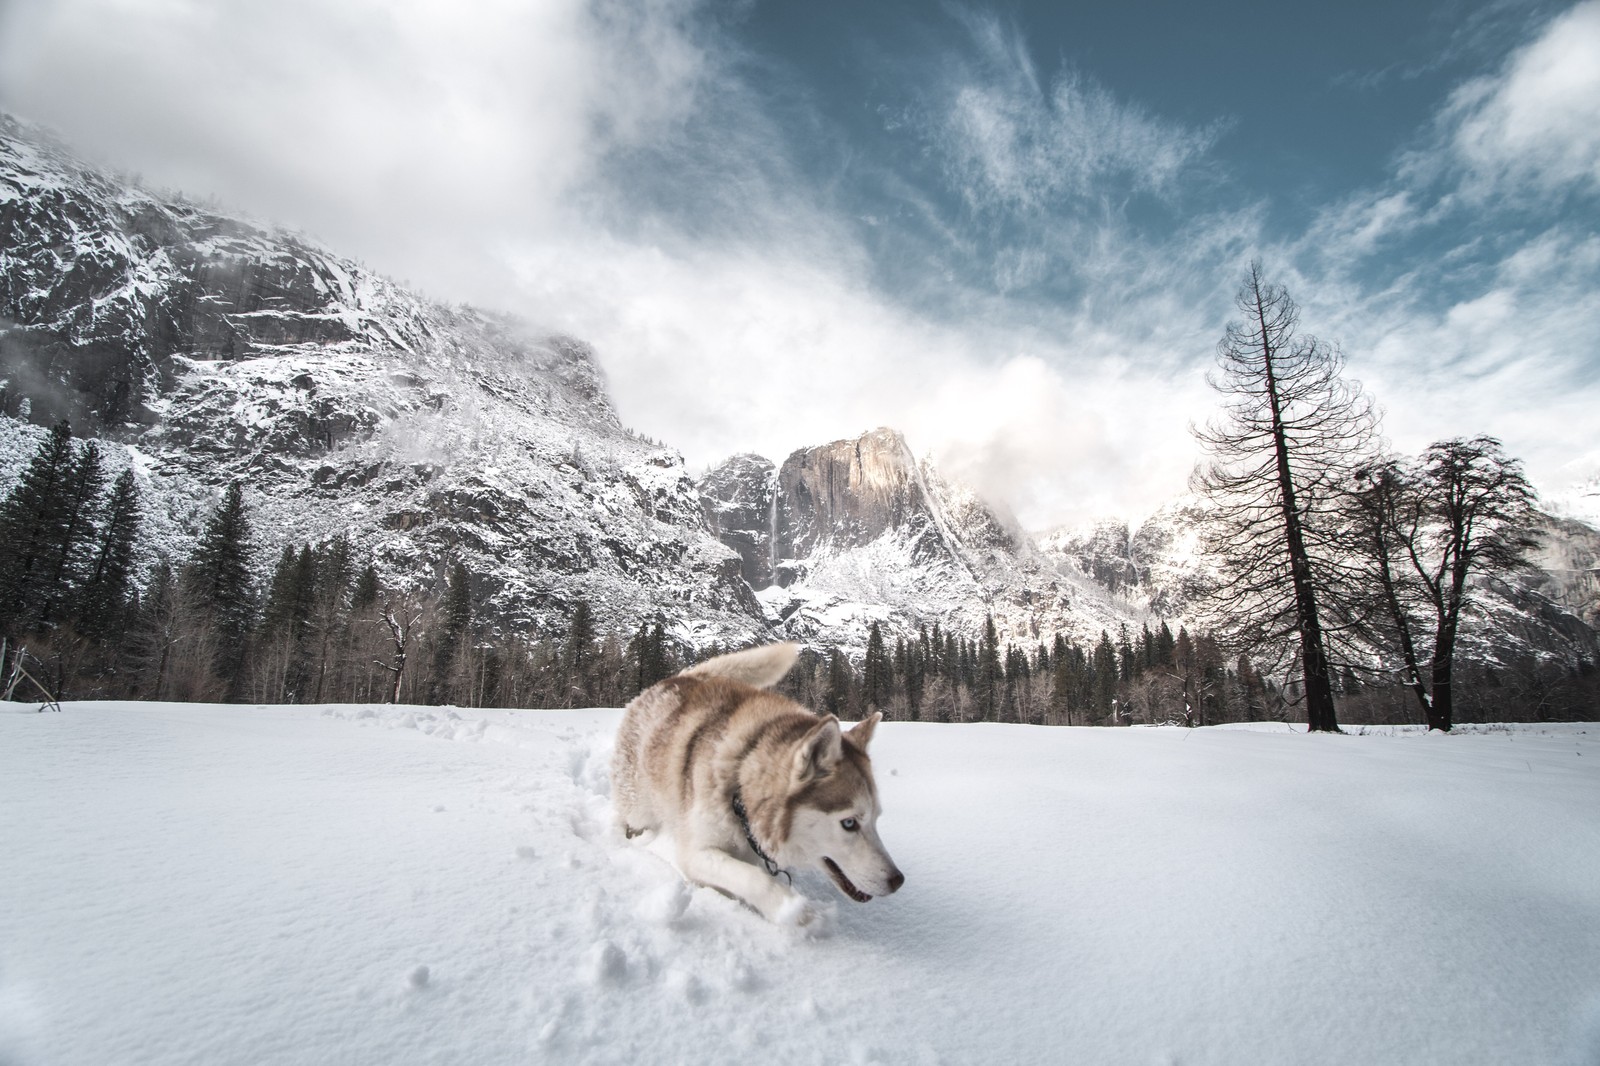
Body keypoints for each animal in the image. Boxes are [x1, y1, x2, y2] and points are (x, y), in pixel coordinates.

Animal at [611, 640, 908, 921]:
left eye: (876, 818)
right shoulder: (696, 852)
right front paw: (795, 911)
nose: (898, 880)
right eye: (849, 823)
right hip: (639, 809)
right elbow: (756, 880)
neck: (740, 780)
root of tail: (676, 678)